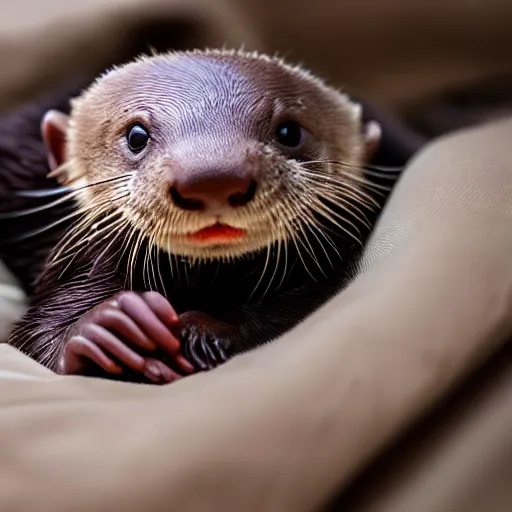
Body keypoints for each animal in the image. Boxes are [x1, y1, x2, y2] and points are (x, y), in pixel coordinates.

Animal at [6, 49, 416, 384]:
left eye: (289, 131)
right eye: (136, 135)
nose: (213, 178)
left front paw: (205, 327)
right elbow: (33, 339)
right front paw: (107, 328)